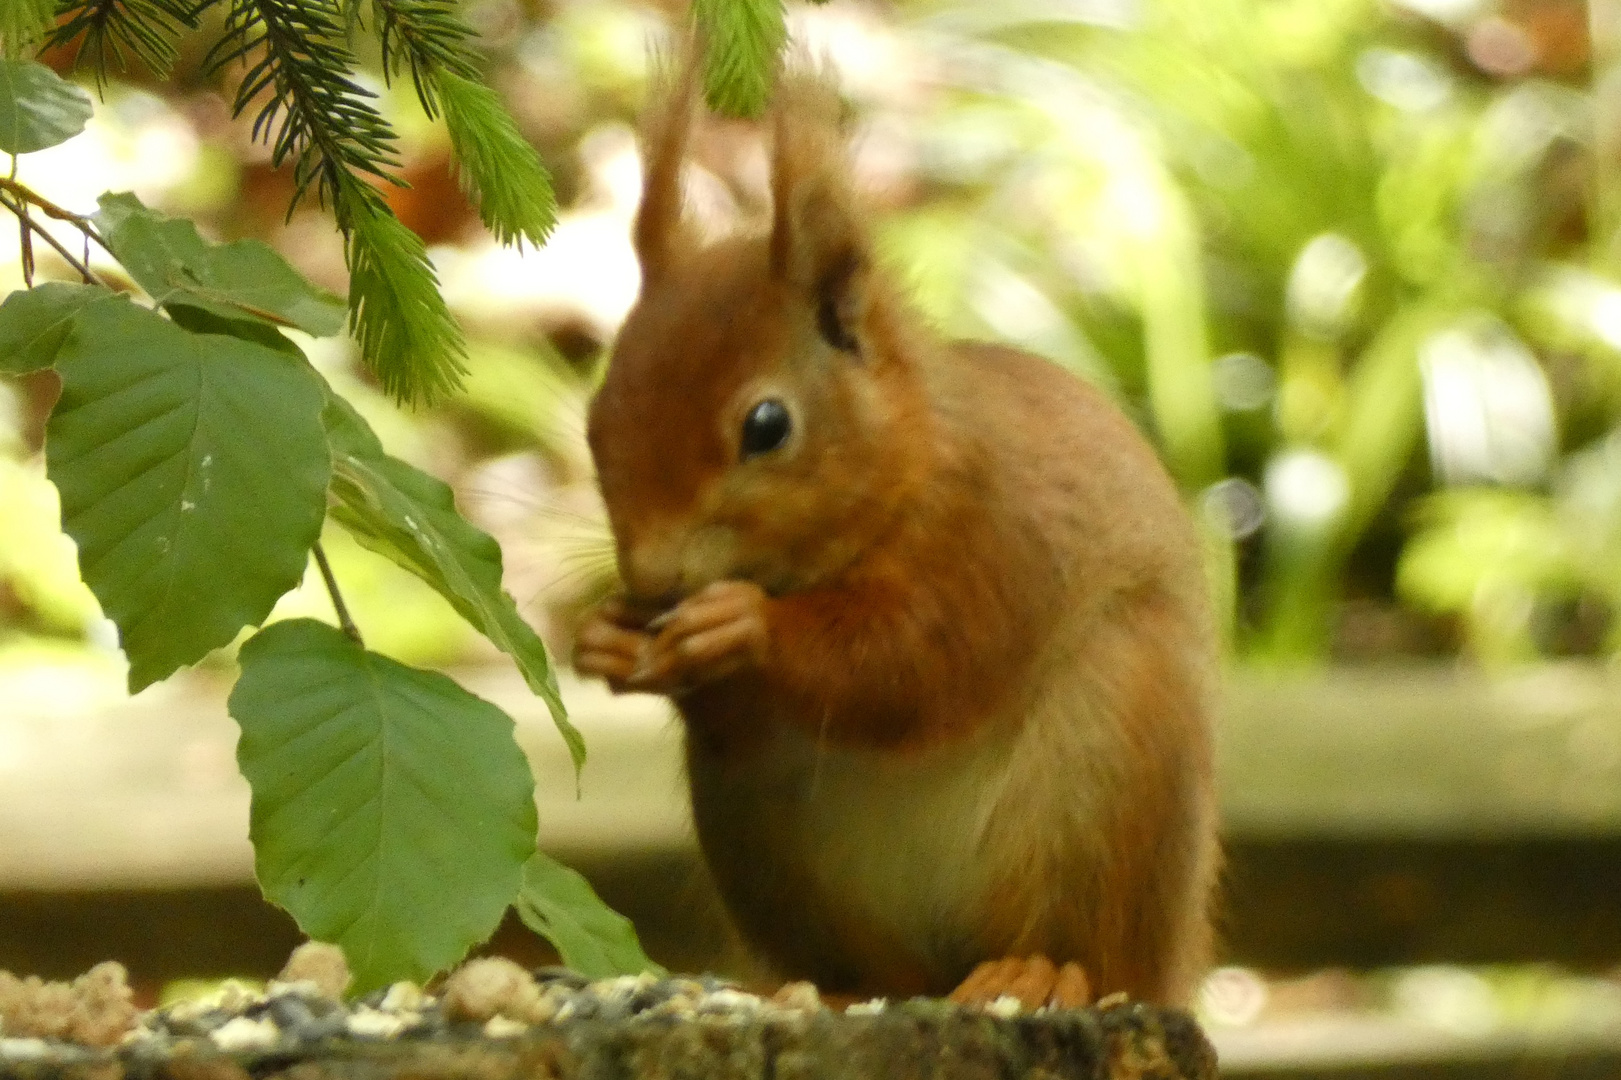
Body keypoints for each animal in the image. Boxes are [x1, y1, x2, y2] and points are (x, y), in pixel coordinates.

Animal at [573, 56, 1218, 998]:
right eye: (596, 420)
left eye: (767, 426)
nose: (653, 579)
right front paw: (605, 640)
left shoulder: (994, 531)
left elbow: (917, 662)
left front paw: (747, 627)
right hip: (763, 845)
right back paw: (842, 989)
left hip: (1110, 771)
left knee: (1093, 953)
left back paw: (1037, 974)